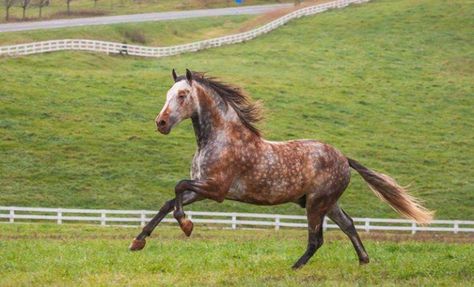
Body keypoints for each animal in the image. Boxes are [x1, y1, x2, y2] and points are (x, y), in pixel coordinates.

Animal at [129, 68, 434, 268]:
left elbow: (178, 187)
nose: (161, 123)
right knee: (348, 225)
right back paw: (363, 261)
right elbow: (169, 201)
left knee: (316, 239)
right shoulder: (202, 188)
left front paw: (187, 226)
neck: (221, 138)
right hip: (327, 202)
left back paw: (295, 267)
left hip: (316, 204)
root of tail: (344, 158)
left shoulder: (216, 189)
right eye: (168, 94)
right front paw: (138, 241)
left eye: (182, 95)